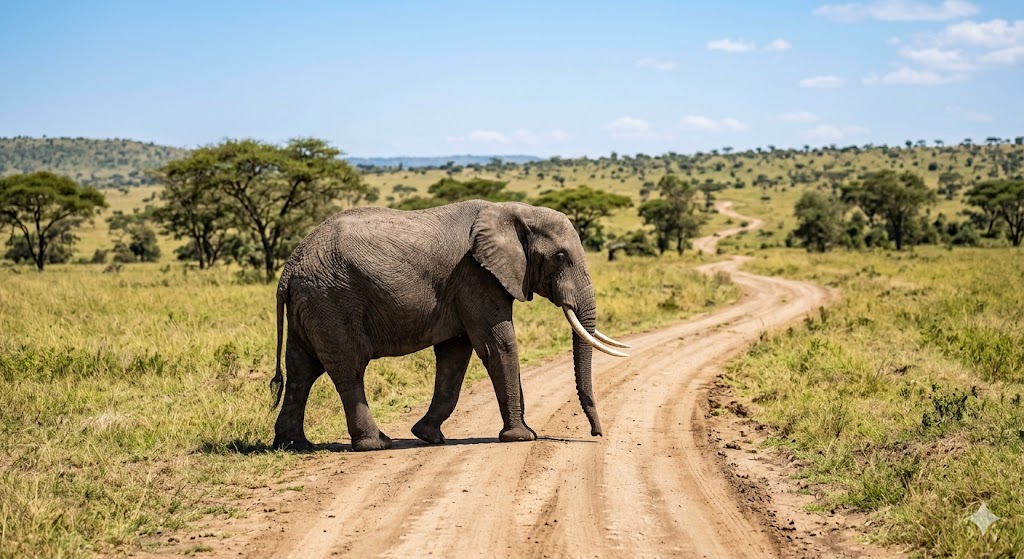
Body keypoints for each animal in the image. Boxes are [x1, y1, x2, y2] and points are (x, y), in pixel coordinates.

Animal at [269, 199, 629, 452]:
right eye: (560, 257)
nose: (597, 433)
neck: (514, 211)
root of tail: (288, 271)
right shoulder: (476, 276)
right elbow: (498, 346)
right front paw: (522, 437)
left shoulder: (463, 288)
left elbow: (455, 357)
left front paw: (427, 436)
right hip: (332, 300)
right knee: (348, 368)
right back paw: (376, 444)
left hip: (312, 303)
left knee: (301, 370)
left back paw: (294, 446)